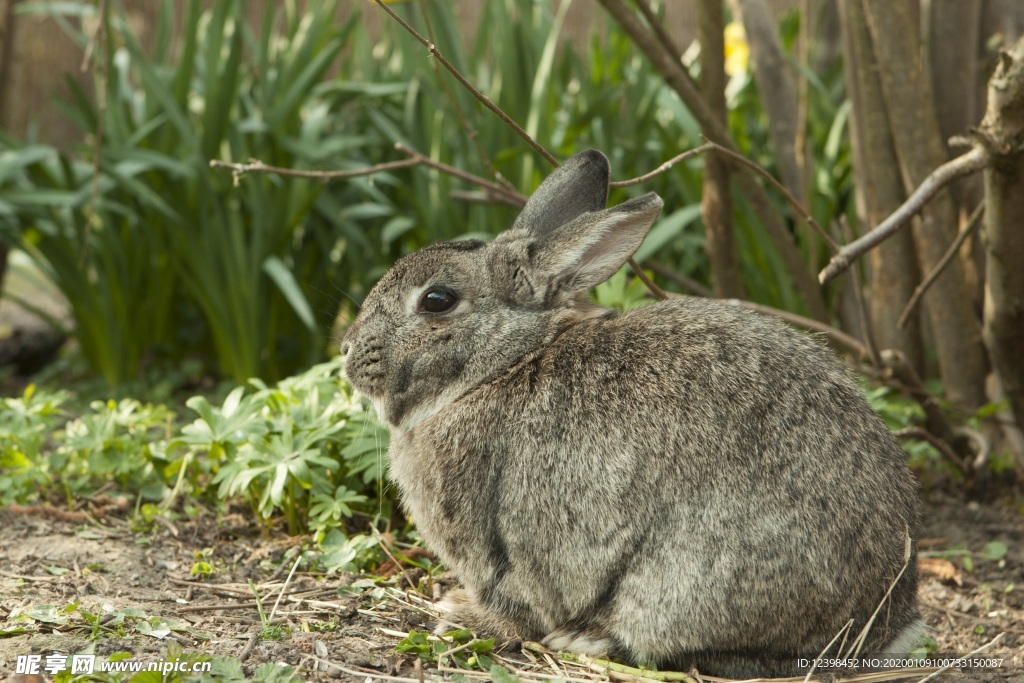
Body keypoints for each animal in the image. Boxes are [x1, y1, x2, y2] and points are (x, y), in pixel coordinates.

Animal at [342, 149, 921, 679]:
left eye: (437, 300)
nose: (347, 350)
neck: (507, 362)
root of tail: (887, 620)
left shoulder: (497, 548)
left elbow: (516, 606)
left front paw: (461, 616)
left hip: (686, 584)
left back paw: (590, 640)